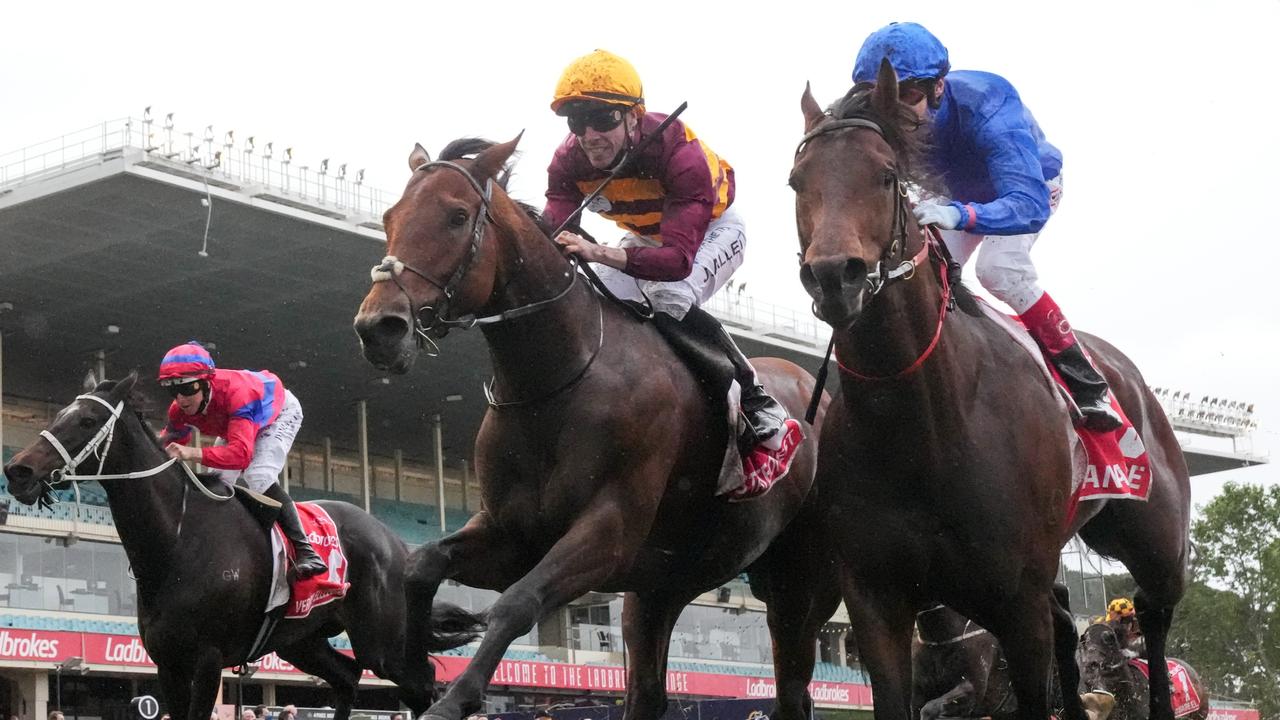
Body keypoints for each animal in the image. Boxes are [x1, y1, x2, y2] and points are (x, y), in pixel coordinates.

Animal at [2, 371, 481, 717]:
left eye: (85, 421)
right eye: (57, 416)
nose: (18, 471)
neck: (178, 538)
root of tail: (396, 543)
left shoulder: (207, 658)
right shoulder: (167, 660)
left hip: (384, 643)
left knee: (424, 686)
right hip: (301, 640)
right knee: (347, 677)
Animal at [353, 137, 829, 717]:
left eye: (457, 215)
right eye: (390, 217)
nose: (379, 328)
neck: (555, 382)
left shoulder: (610, 531)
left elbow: (517, 603)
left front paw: (455, 698)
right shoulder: (514, 535)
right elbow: (422, 564)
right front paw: (418, 670)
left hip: (798, 585)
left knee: (799, 686)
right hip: (658, 590)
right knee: (648, 691)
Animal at [788, 58, 1187, 717]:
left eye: (887, 175)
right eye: (797, 180)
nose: (833, 275)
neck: (923, 423)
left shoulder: (1014, 602)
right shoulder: (876, 601)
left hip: (1156, 542)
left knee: (1153, 619)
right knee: (1071, 627)